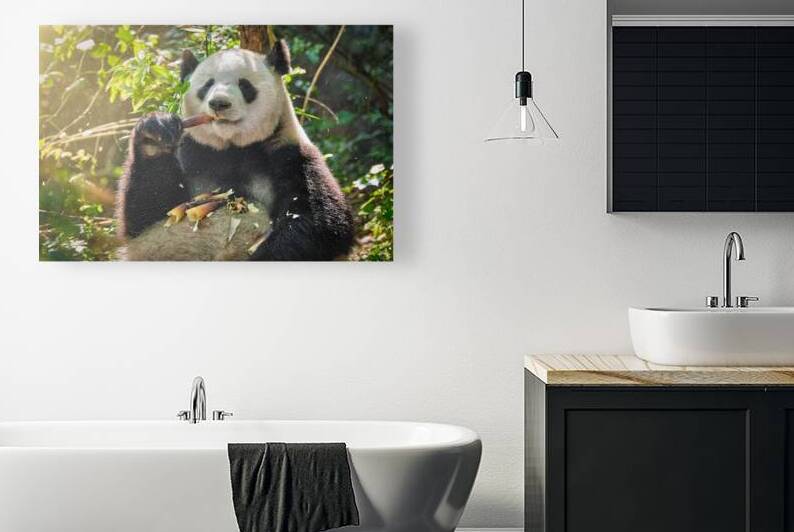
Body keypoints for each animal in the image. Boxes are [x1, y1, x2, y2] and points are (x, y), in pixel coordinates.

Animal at [116, 41, 355, 261]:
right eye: (207, 85)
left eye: (244, 85)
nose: (219, 103)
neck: (232, 148)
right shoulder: (193, 153)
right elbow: (147, 214)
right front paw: (155, 133)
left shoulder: (289, 155)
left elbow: (317, 222)